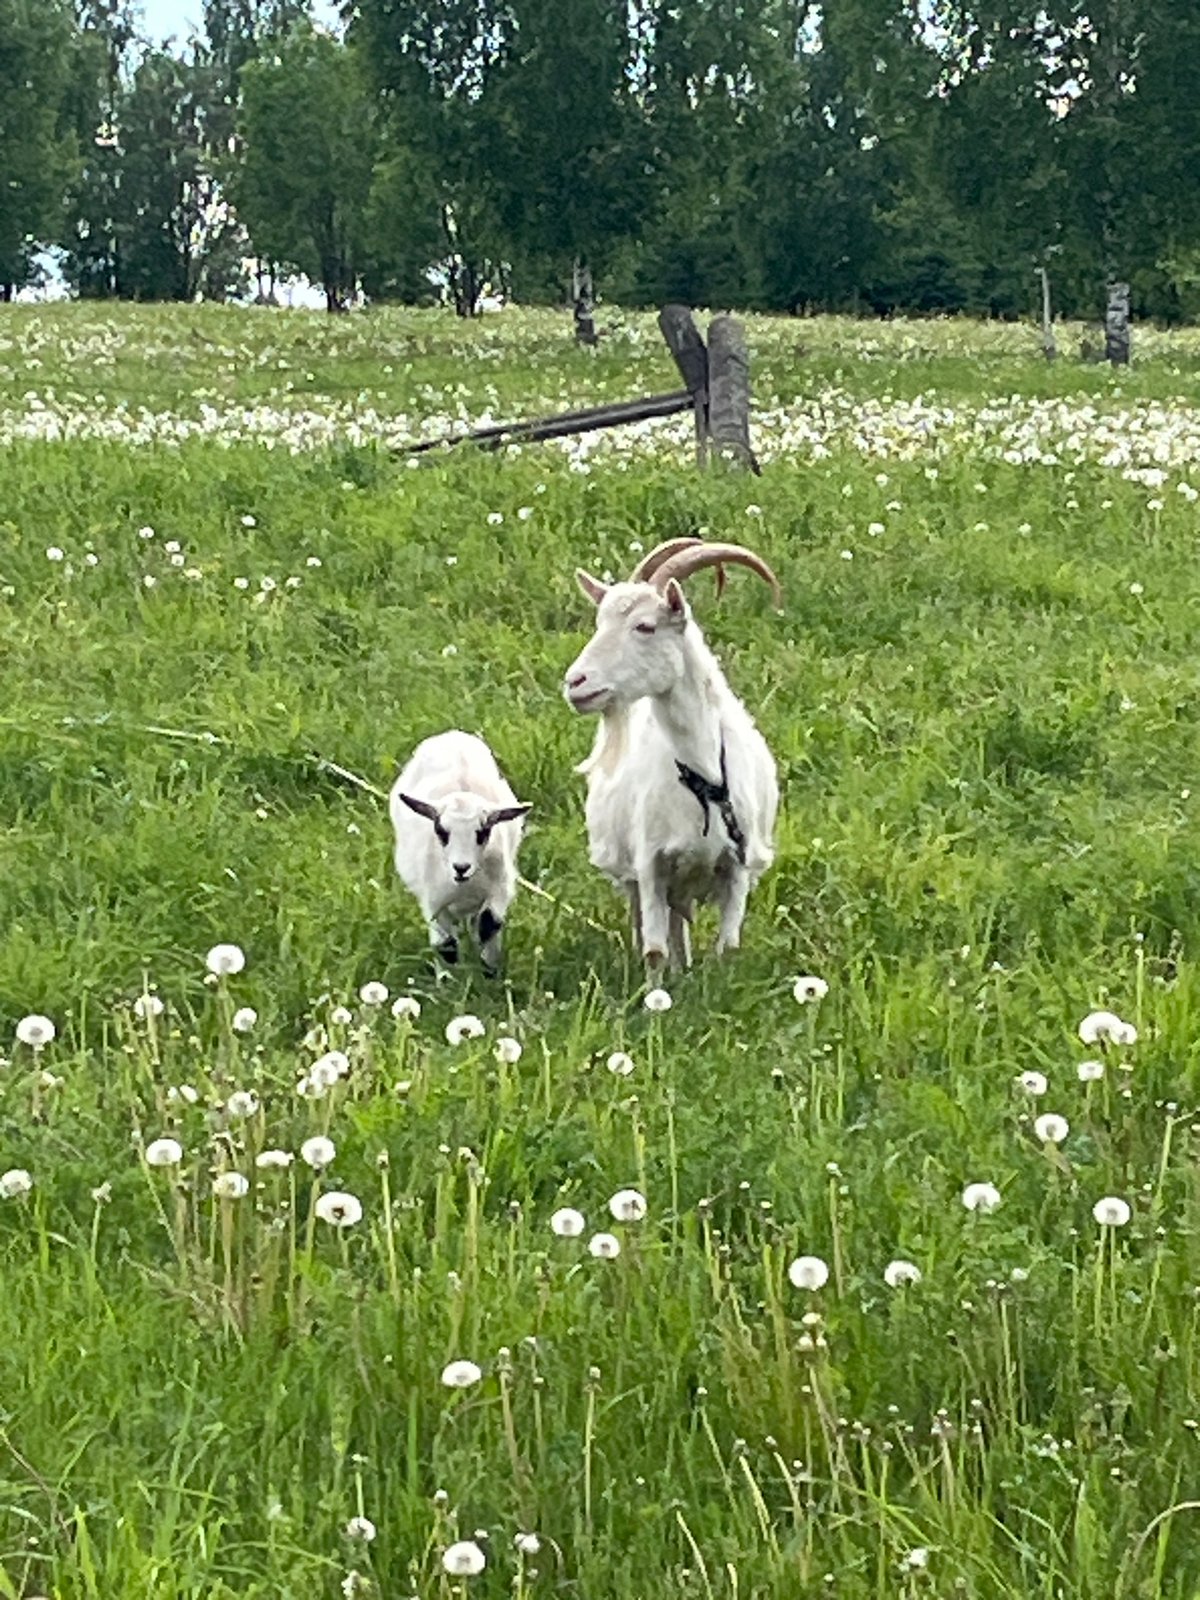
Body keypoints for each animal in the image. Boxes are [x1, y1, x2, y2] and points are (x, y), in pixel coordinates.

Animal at [389, 730, 530, 975]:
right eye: (440, 831)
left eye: (483, 832)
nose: (461, 868)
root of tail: (451, 735)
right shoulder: (433, 902)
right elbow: (445, 946)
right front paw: (449, 979)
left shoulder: (501, 887)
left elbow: (489, 924)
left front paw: (489, 970)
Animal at [563, 538, 781, 972]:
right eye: (599, 623)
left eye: (645, 626)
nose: (575, 682)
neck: (704, 779)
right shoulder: (651, 865)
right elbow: (654, 950)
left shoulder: (738, 865)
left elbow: (729, 949)